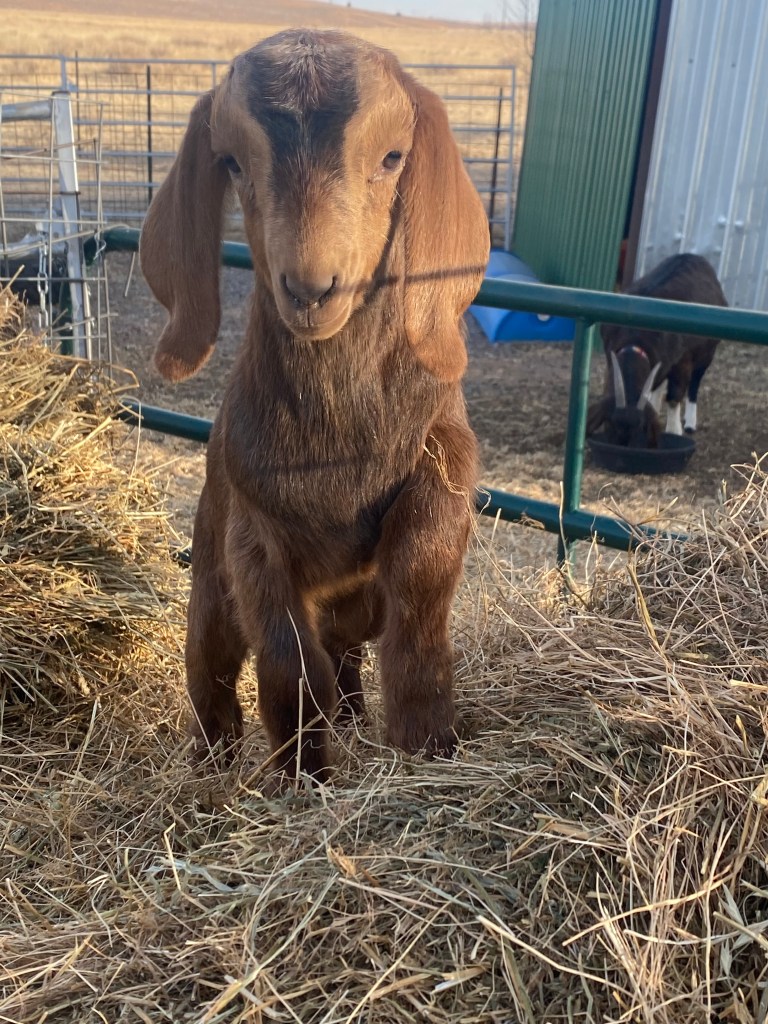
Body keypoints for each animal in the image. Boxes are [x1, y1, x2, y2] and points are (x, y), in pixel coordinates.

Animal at [139, 30, 490, 784]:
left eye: (391, 157)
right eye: (231, 161)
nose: (310, 288)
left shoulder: (444, 462)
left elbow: (418, 596)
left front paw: (425, 741)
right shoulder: (253, 534)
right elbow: (287, 669)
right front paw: (304, 777)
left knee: (346, 648)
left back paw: (354, 717)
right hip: (209, 576)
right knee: (210, 665)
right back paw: (211, 764)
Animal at [587, 254, 727, 448]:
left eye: (641, 427)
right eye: (609, 422)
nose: (622, 445)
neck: (635, 337)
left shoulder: (682, 361)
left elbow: (674, 397)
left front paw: (674, 430)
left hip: (707, 352)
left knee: (694, 383)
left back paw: (690, 423)